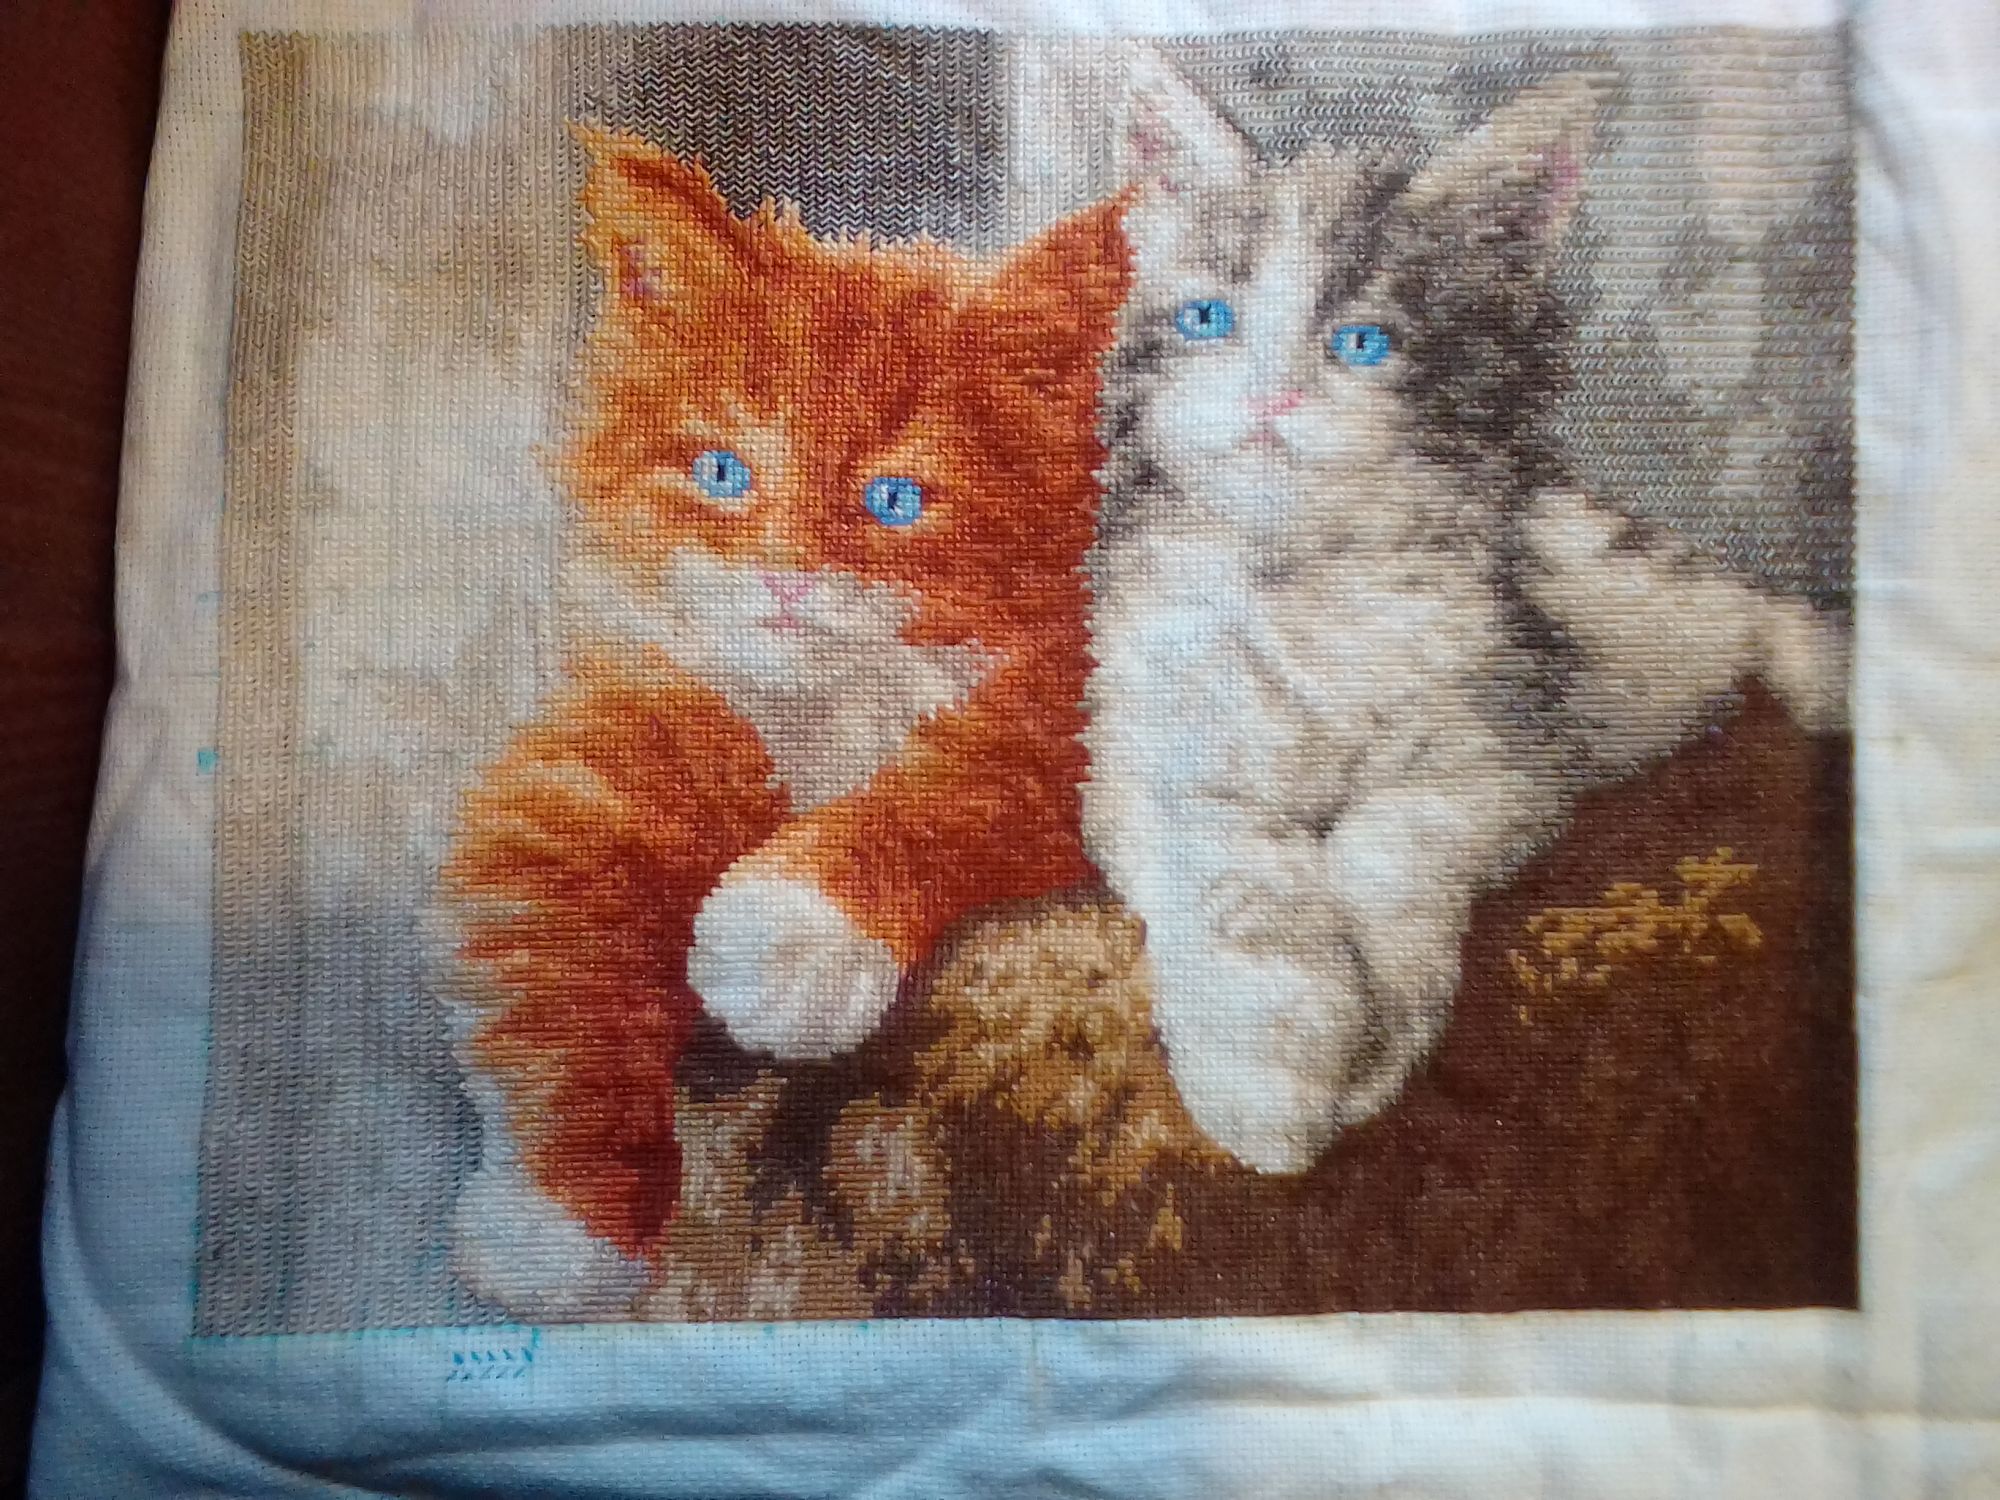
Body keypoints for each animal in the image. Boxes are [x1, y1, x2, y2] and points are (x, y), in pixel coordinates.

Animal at [434, 127, 1130, 1317]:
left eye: (894, 500)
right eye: (723, 471)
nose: (786, 579)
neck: (824, 713)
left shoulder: (1077, 725)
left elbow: (951, 784)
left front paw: (785, 930)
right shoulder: (578, 773)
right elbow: (551, 979)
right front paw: (553, 1224)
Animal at [1083, 56, 1849, 1175]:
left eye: (1362, 342)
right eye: (1207, 320)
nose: (1271, 398)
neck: (1305, 575)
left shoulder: (1505, 745)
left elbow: (1393, 841)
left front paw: (1376, 1025)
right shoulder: (1144, 751)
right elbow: (1233, 882)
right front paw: (1271, 1085)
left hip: (1608, 572)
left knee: (1746, 605)